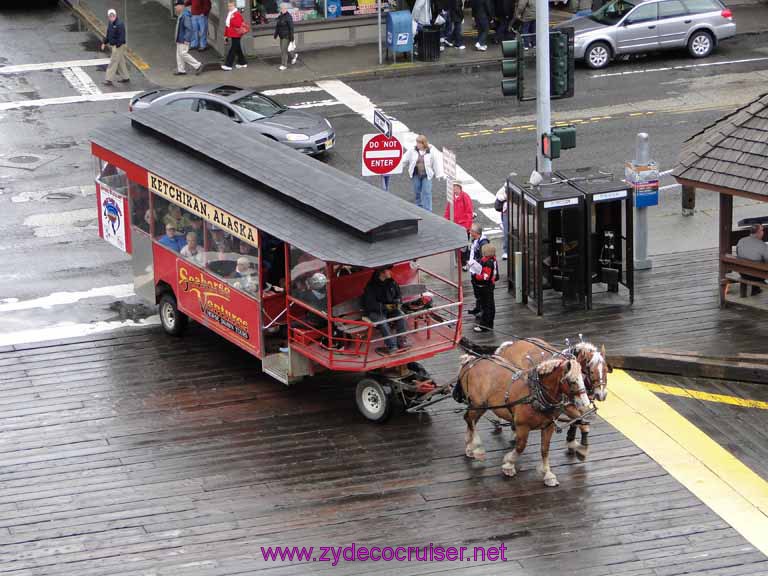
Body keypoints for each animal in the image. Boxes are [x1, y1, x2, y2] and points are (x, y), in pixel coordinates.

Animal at [452, 356, 592, 486]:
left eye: (584, 377)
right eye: (572, 381)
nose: (585, 404)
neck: (536, 394)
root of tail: (470, 361)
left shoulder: (548, 426)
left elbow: (544, 449)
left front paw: (548, 474)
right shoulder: (522, 426)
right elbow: (520, 447)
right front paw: (508, 465)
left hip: (481, 406)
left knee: (469, 419)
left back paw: (470, 446)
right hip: (478, 404)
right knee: (470, 419)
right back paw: (476, 448)